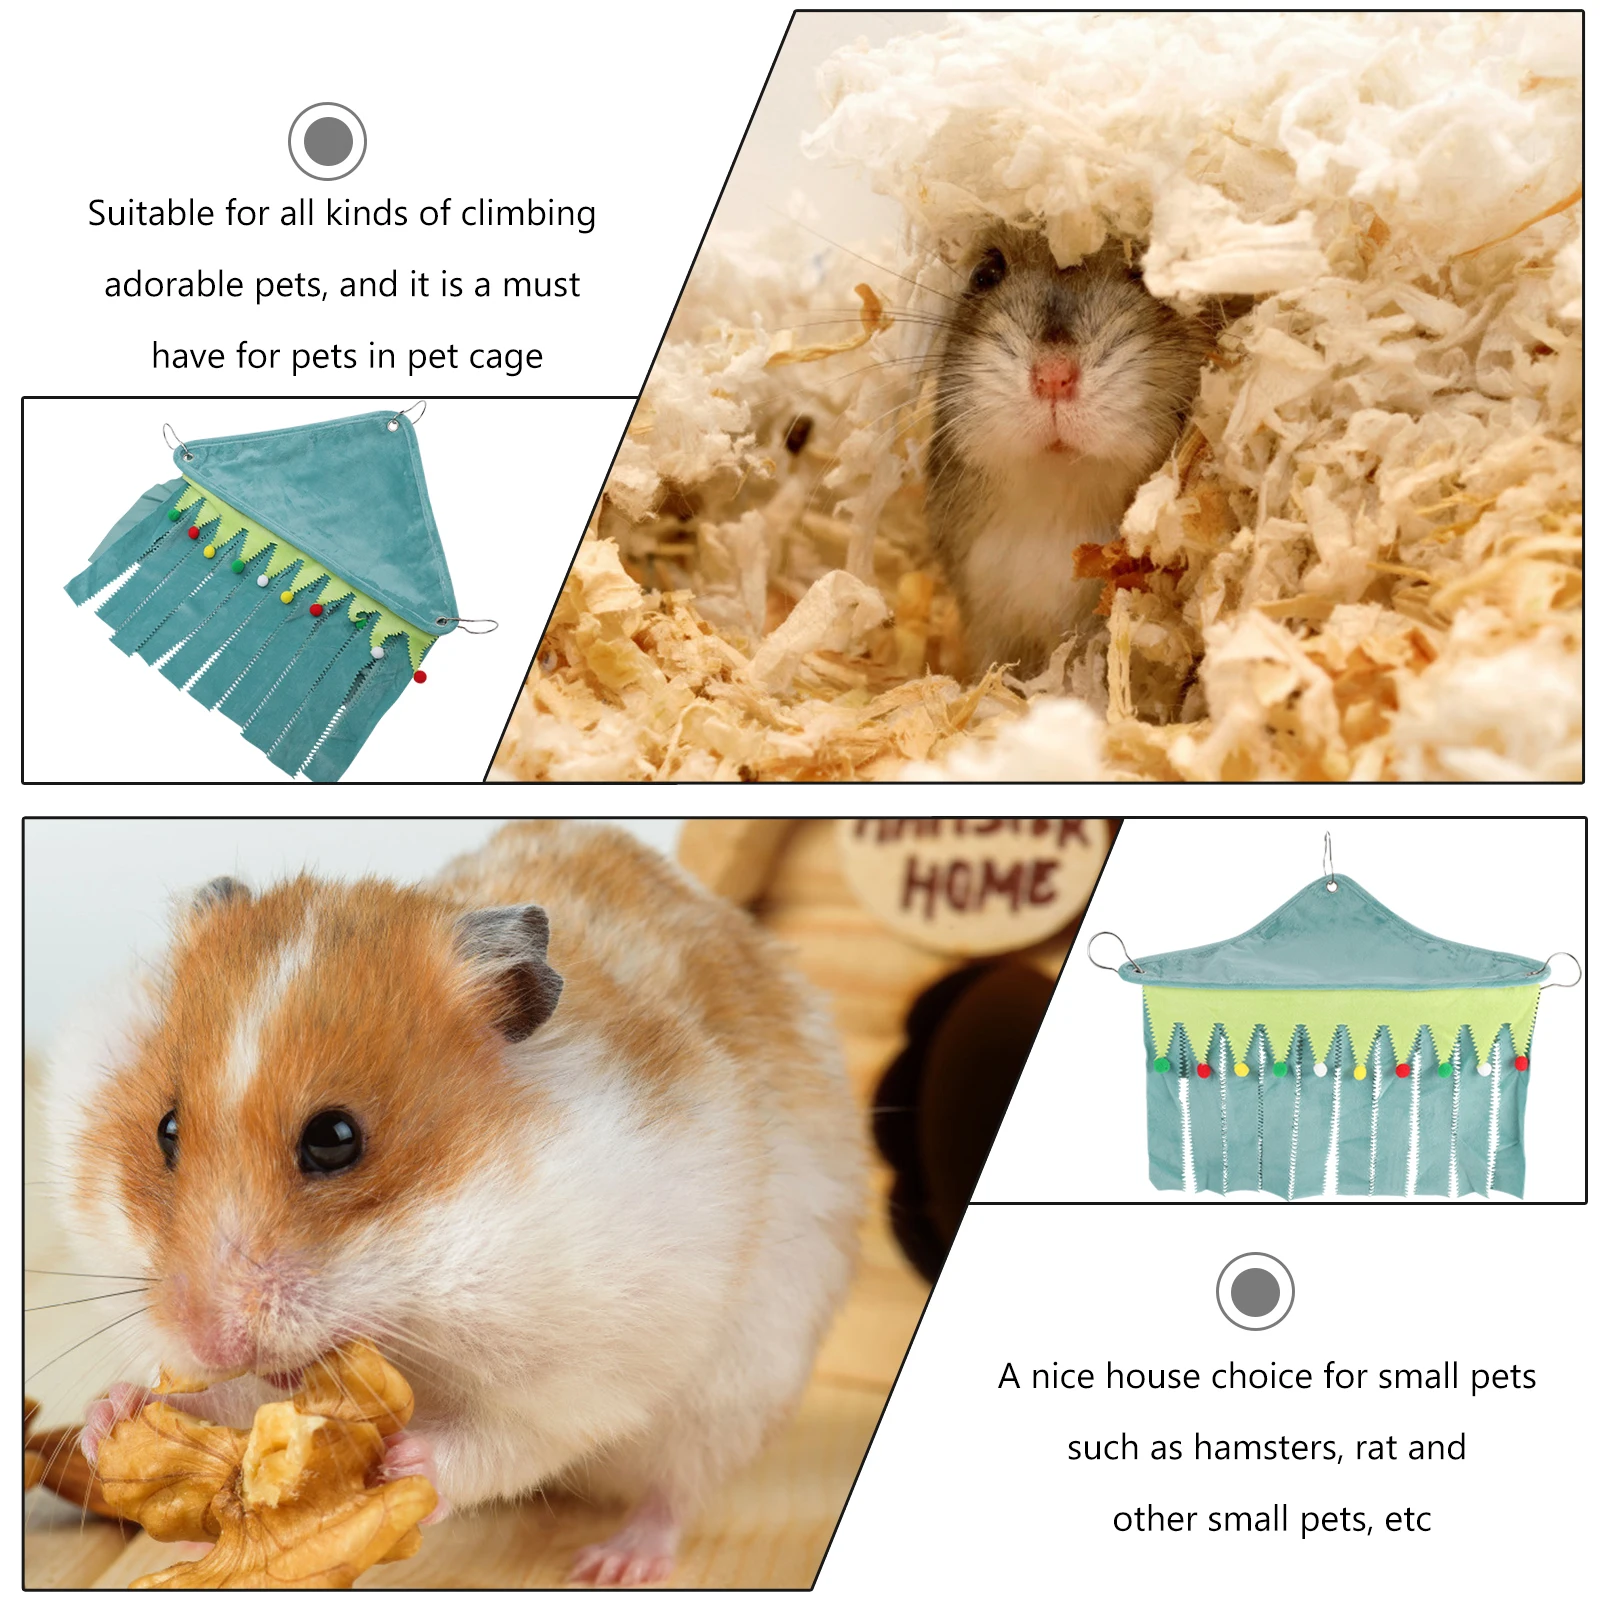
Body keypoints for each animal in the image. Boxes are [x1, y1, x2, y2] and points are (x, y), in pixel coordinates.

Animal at [44, 821, 864, 1587]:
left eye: (335, 1139)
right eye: (166, 1130)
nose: (207, 1339)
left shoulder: (582, 1366)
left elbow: (502, 1444)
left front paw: (404, 1465)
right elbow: (225, 1399)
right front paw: (112, 1414)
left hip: (732, 1396)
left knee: (676, 1492)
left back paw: (614, 1563)